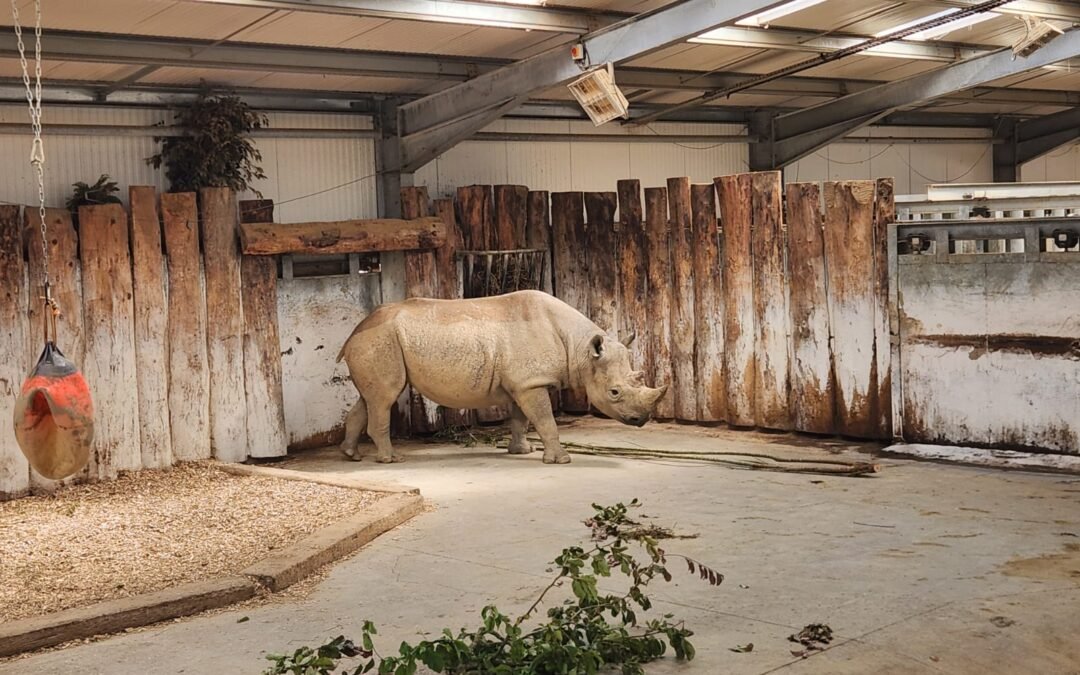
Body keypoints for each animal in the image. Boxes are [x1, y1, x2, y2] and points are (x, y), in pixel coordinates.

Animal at [335, 289, 667, 464]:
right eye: (614, 392)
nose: (641, 420)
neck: (582, 348)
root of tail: (352, 332)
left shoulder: (524, 382)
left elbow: (521, 419)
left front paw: (522, 451)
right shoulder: (531, 383)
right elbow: (545, 420)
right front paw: (560, 460)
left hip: (375, 341)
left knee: (371, 398)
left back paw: (351, 455)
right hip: (379, 340)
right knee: (385, 396)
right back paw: (391, 460)